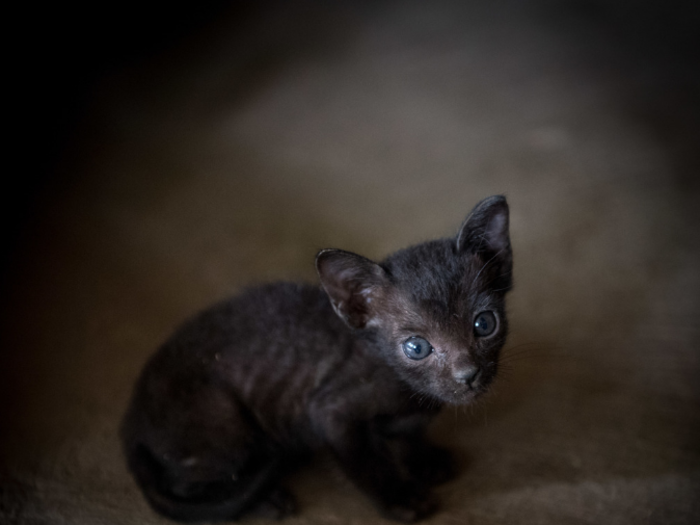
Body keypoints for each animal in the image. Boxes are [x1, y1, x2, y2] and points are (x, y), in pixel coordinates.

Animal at [121, 194, 516, 520]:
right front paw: (400, 499)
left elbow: (411, 432)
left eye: (484, 324)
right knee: (189, 483)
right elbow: (368, 464)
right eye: (416, 347)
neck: (410, 394)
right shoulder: (331, 412)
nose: (468, 373)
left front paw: (425, 459)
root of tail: (131, 418)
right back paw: (265, 501)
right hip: (225, 425)